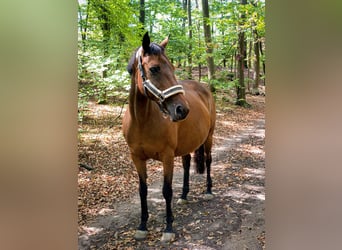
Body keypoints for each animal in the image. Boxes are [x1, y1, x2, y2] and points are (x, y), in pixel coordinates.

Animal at [121, 32, 215, 243]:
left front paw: (169, 227)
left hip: (209, 138)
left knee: (208, 160)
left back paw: (208, 191)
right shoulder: (136, 157)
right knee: (187, 163)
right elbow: (143, 190)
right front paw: (142, 226)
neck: (142, 120)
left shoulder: (167, 156)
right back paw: (184, 195)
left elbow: (166, 190)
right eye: (154, 69)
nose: (182, 109)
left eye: (172, 67)